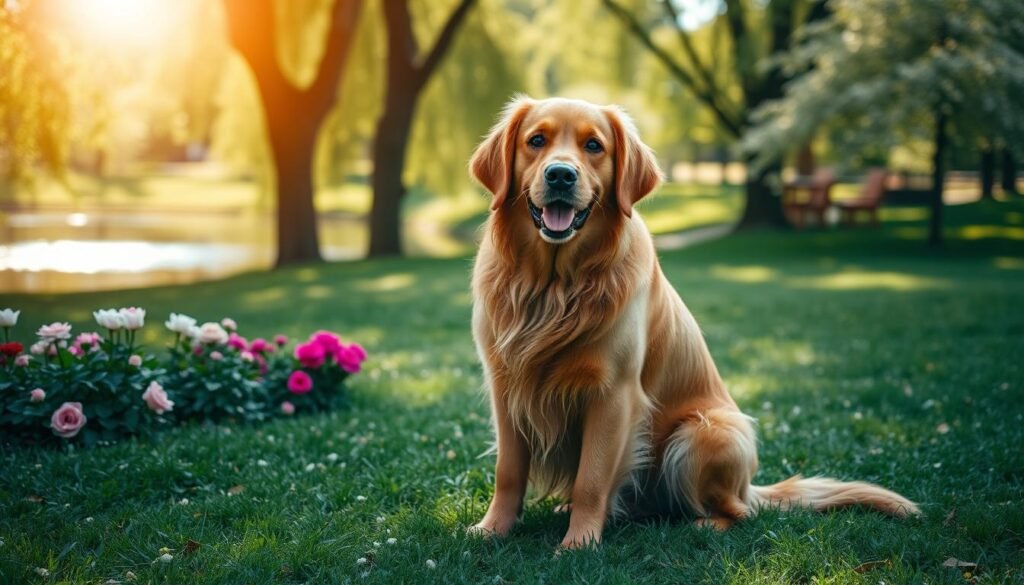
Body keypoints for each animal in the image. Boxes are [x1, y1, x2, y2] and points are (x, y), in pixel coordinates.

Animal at [468, 94, 917, 549]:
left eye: (594, 146)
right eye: (536, 141)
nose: (561, 175)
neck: (554, 286)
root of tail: (749, 487)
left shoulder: (613, 394)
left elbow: (591, 480)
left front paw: (579, 544)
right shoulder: (506, 387)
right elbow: (508, 473)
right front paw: (491, 529)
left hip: (703, 432)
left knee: (740, 513)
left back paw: (700, 524)